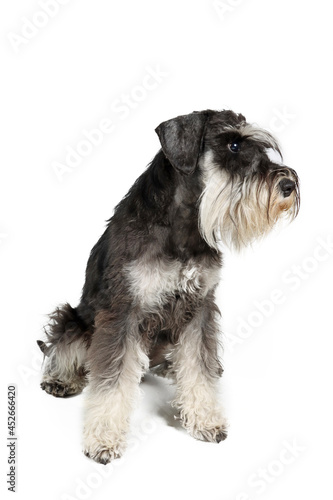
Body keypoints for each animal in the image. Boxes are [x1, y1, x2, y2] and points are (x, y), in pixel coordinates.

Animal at [37, 109, 300, 464]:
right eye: (233, 144)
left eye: (261, 148)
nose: (288, 185)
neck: (185, 224)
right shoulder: (123, 312)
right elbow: (111, 381)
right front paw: (104, 439)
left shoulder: (201, 307)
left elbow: (199, 366)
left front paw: (205, 418)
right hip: (74, 320)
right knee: (63, 348)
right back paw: (61, 379)